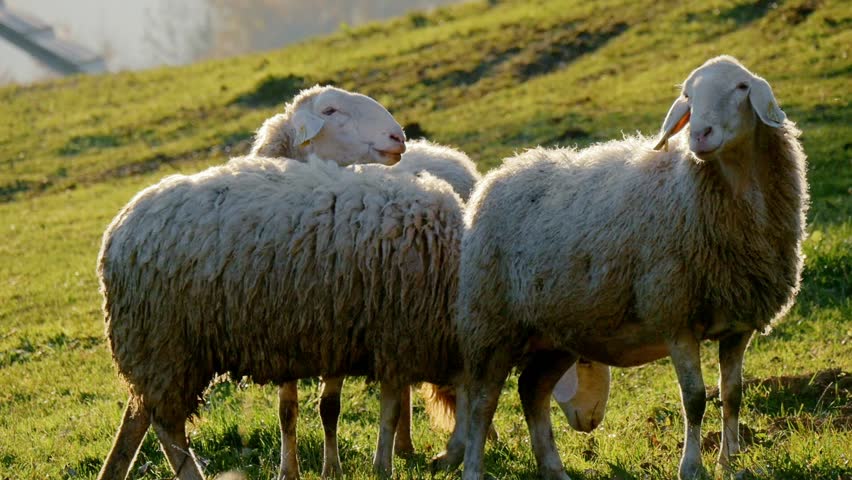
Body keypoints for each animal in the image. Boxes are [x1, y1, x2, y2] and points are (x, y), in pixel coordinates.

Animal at [97, 156, 470, 478]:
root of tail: (118, 230)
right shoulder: (396, 338)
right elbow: (393, 413)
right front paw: (386, 467)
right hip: (167, 344)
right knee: (166, 427)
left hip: (153, 346)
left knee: (138, 418)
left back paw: (113, 471)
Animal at [452, 54, 804, 478]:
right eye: (688, 95)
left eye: (741, 87)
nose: (699, 135)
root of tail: (499, 174)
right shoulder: (674, 314)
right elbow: (695, 398)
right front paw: (692, 467)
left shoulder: (739, 322)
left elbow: (732, 395)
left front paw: (730, 462)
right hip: (491, 322)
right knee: (481, 403)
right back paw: (474, 469)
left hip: (556, 333)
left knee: (532, 390)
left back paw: (554, 469)